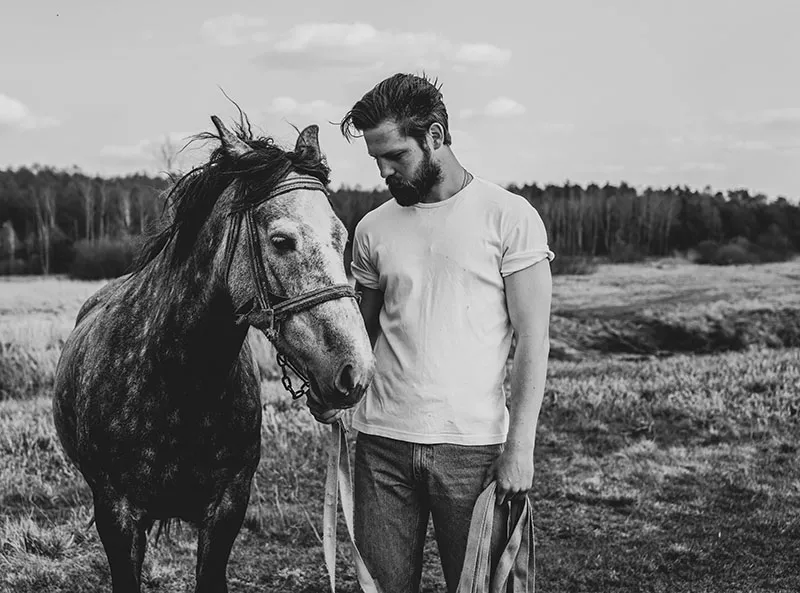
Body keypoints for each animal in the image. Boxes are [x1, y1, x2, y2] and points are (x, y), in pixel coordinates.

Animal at [53, 113, 376, 588]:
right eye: (282, 241)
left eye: (342, 236)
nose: (356, 371)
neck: (177, 380)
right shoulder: (117, 515)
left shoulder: (226, 510)